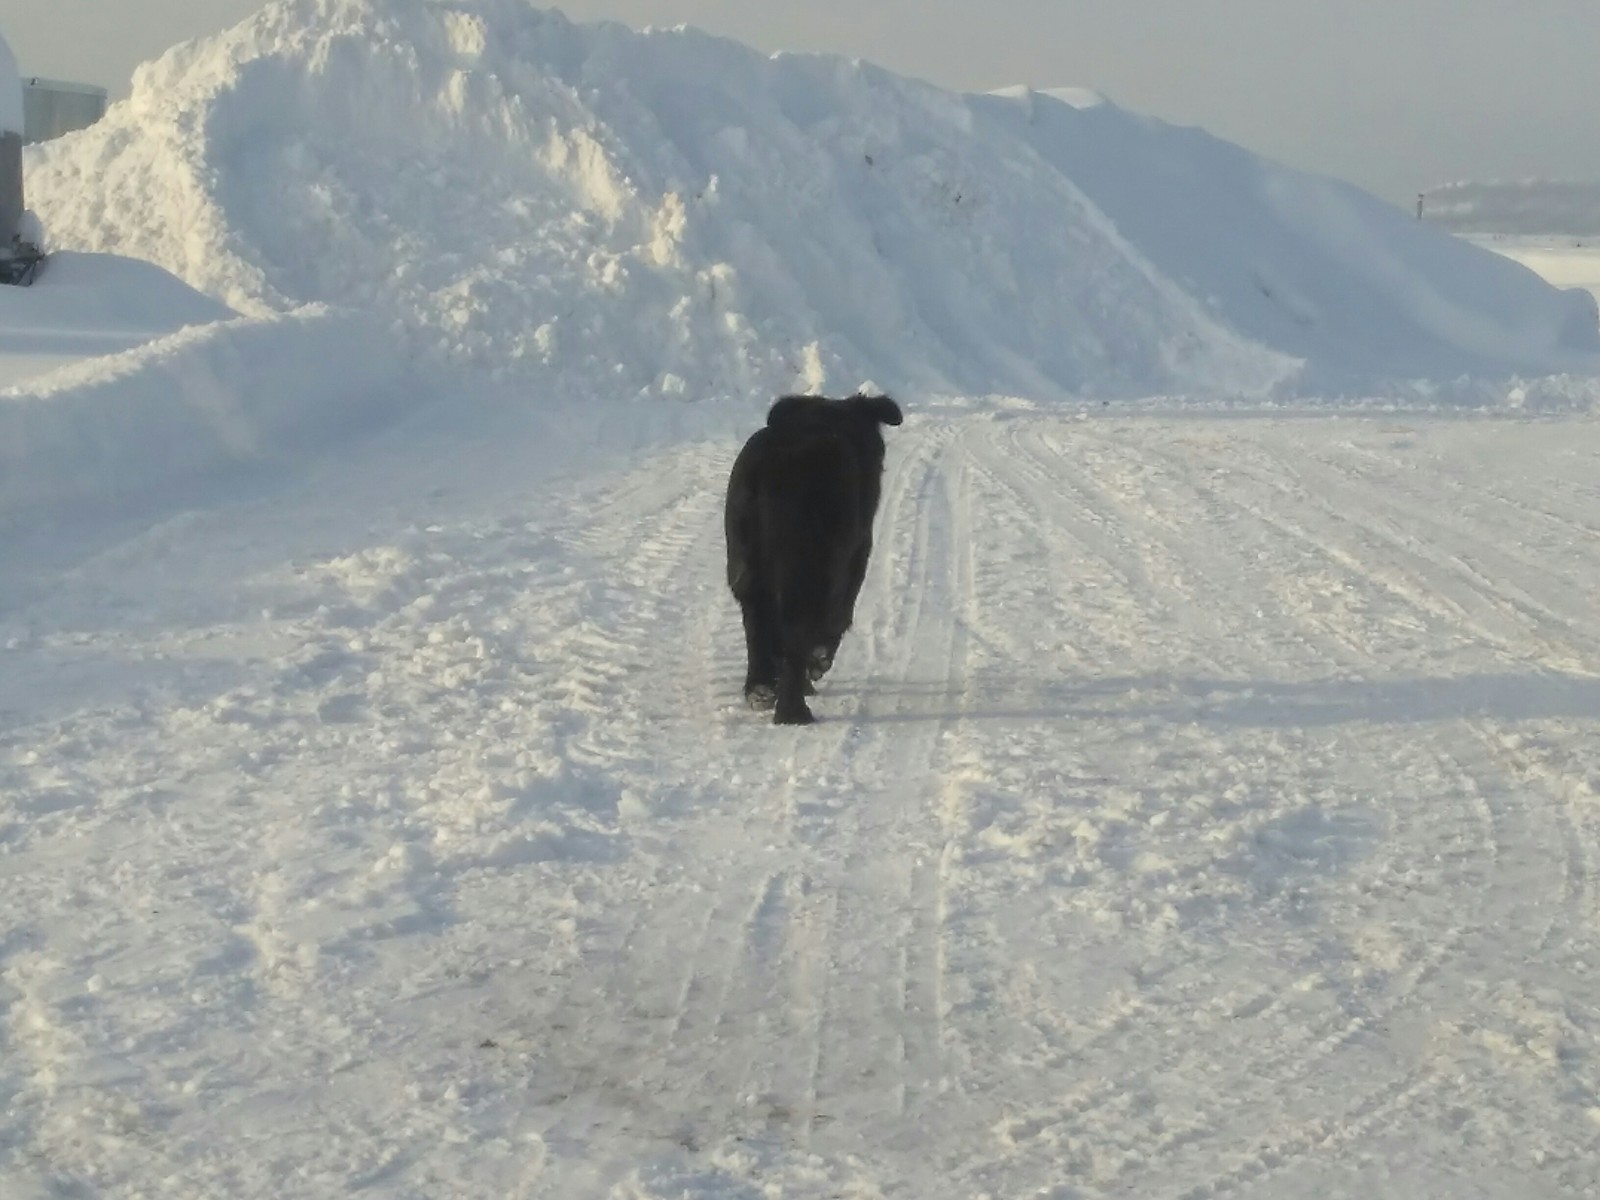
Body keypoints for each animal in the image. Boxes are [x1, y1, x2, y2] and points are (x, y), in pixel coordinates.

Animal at [723, 395, 902, 723]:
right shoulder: (854, 558)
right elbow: (836, 619)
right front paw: (817, 664)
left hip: (746, 564)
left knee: (758, 626)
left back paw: (761, 689)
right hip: (808, 568)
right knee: (796, 632)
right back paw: (793, 709)